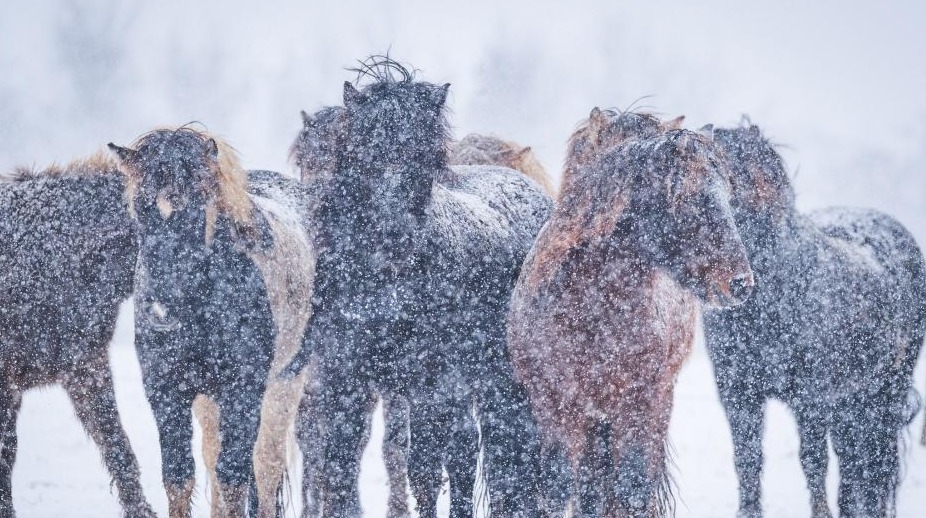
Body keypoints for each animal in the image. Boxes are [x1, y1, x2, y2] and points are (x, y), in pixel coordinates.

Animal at [109, 127, 316, 518]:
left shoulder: (243, 389)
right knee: (214, 456)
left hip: (285, 383)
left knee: (265, 466)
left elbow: (236, 479)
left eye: (196, 206)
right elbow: (180, 478)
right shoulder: (166, 391)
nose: (160, 312)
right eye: (140, 208)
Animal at [286, 58, 556, 518]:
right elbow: (339, 467)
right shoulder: (343, 382)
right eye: (365, 151)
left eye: (424, 155)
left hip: (499, 381)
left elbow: (427, 470)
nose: (396, 233)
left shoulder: (432, 385)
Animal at [508, 107, 752, 516]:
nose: (741, 282)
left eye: (728, 194)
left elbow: (634, 490)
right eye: (683, 195)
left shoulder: (640, 404)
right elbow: (559, 490)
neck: (595, 310)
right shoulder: (555, 405)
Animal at [704, 120, 926, 516]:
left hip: (885, 389)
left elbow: (813, 460)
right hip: (852, 399)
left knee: (873, 458)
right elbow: (747, 459)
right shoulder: (738, 394)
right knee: (854, 458)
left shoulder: (811, 398)